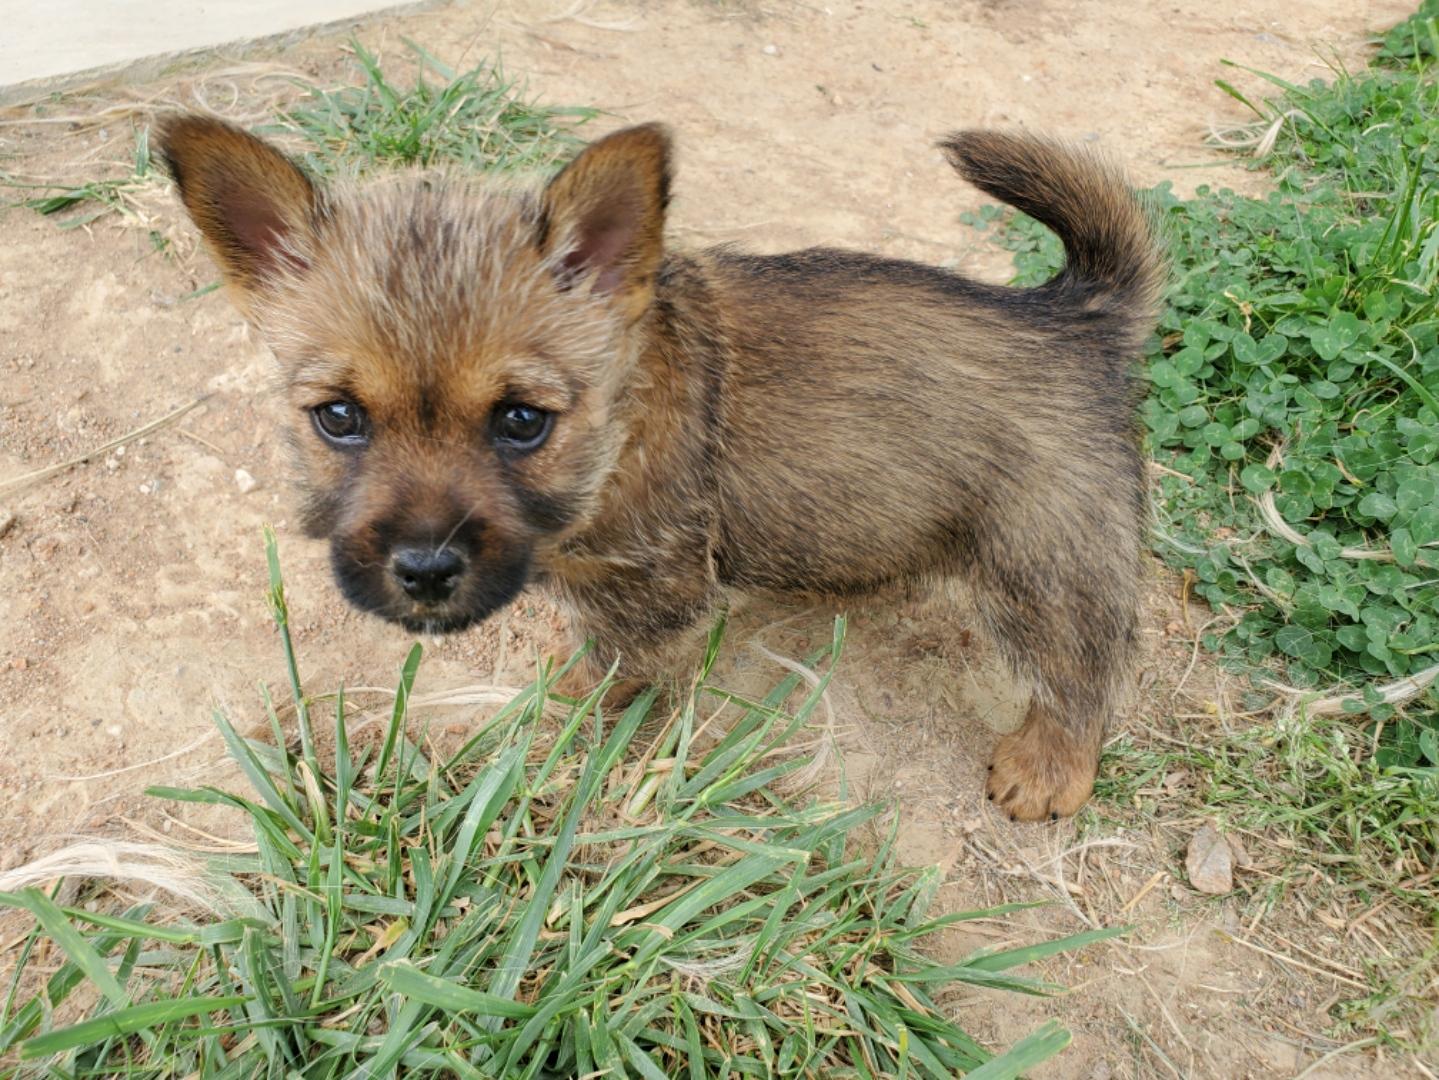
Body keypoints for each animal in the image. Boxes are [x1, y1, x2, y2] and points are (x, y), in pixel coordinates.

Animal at [157, 114, 1161, 821]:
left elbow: (608, 665)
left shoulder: (647, 588)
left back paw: (1047, 771)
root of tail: (1074, 315)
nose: (425, 570)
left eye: (521, 421)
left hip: (1044, 559)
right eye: (338, 418)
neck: (618, 429)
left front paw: (565, 705)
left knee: (1083, 668)